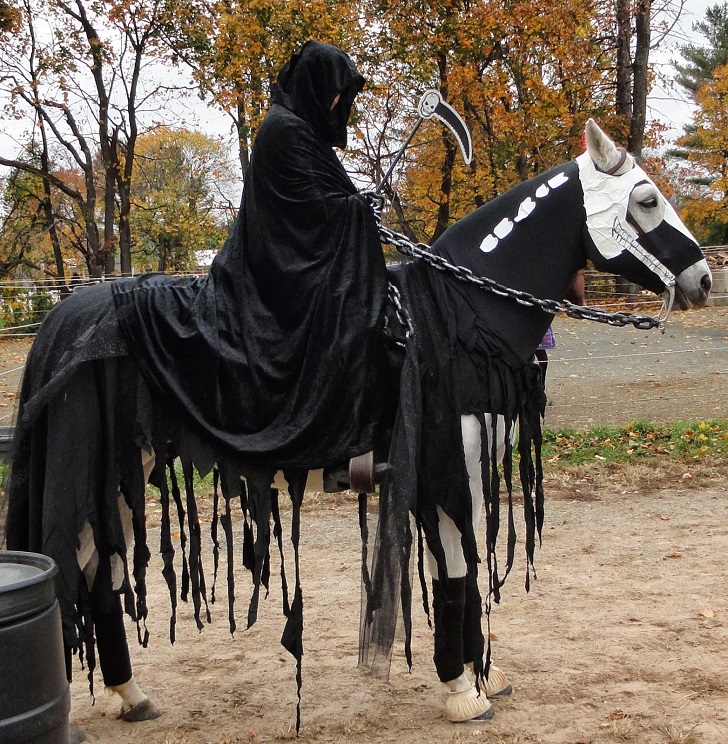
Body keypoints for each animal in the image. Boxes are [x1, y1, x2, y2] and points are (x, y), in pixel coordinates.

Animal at [3, 119, 711, 734]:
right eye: (646, 200)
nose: (703, 279)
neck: (457, 313)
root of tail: (66, 317)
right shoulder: (447, 468)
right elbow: (457, 571)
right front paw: (462, 691)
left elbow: (459, 571)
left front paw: (478, 675)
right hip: (109, 474)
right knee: (80, 566)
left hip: (125, 478)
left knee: (101, 571)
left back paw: (130, 694)